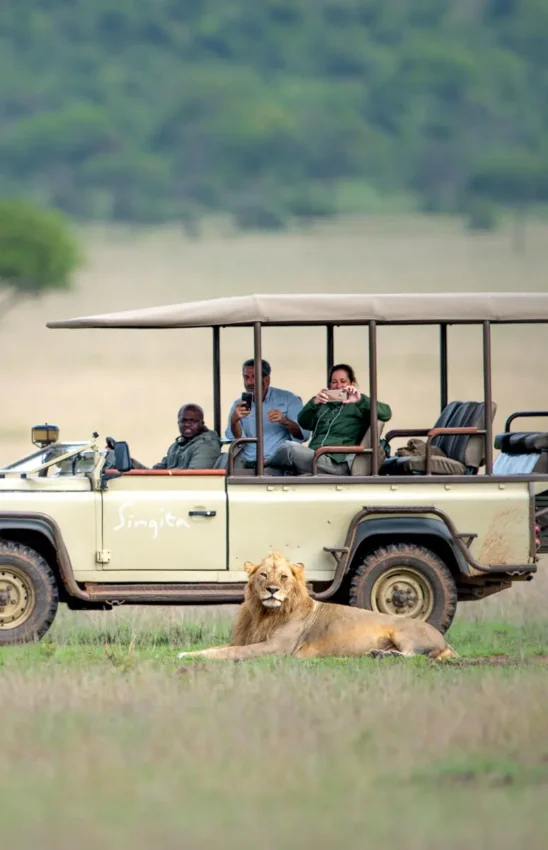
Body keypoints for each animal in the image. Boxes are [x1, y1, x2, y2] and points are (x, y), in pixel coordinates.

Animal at [177, 551, 457, 662]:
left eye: (283, 577)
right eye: (264, 575)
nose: (272, 590)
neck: (264, 614)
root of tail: (445, 641)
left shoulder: (277, 648)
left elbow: (232, 653)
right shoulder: (245, 638)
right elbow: (216, 648)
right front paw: (187, 654)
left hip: (403, 632)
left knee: (412, 655)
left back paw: (379, 654)